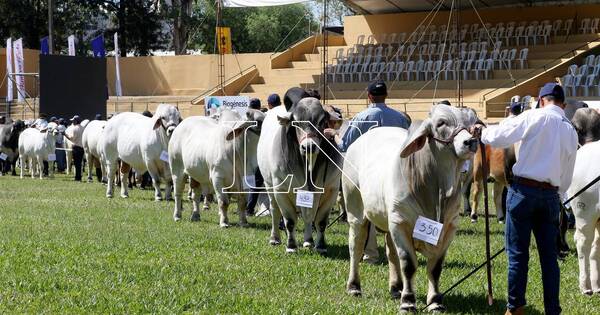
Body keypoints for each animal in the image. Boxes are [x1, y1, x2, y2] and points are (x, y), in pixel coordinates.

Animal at [258, 88, 342, 254]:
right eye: (295, 122)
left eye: (322, 121)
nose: (308, 146)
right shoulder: (281, 190)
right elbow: (290, 221)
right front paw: (291, 246)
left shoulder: (331, 190)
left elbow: (320, 221)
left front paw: (320, 246)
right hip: (269, 186)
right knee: (275, 211)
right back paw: (275, 238)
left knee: (307, 215)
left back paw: (308, 241)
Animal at [342, 105, 478, 312]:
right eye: (441, 123)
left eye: (470, 123)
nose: (470, 141)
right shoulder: (401, 223)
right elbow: (408, 264)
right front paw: (407, 301)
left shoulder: (449, 228)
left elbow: (435, 268)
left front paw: (435, 301)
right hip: (356, 211)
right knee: (355, 247)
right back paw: (354, 287)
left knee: (391, 253)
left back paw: (395, 288)